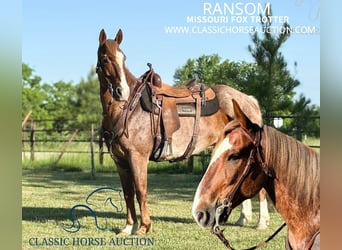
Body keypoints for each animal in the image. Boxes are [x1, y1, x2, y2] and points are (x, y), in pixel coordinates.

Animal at [96, 28, 264, 235]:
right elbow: (128, 193)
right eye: (105, 58)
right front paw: (128, 227)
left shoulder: (138, 157)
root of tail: (248, 100)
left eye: (123, 58)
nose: (122, 92)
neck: (127, 107)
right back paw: (242, 219)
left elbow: (140, 191)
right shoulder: (120, 161)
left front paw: (144, 227)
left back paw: (261, 222)